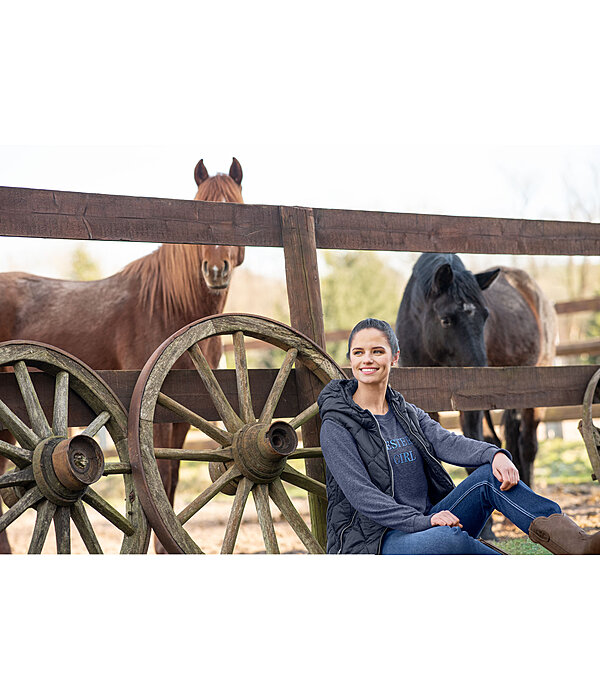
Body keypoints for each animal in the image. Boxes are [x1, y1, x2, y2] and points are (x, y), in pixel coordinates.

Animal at [0, 157, 245, 552]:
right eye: (198, 213)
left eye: (237, 211)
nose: (215, 270)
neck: (168, 305)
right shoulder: (153, 410)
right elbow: (159, 473)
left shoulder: (185, 412)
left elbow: (171, 478)